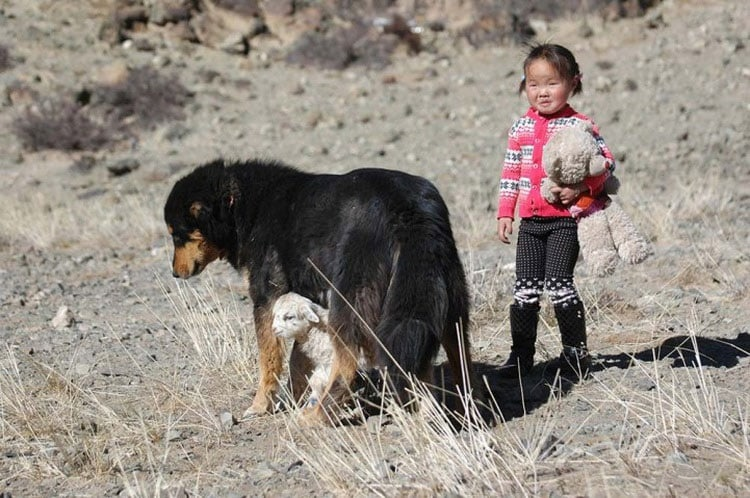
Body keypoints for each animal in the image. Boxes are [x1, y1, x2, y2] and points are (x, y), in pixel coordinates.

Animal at [164, 160, 482, 424]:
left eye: (177, 235)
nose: (174, 274)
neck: (244, 207)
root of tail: (408, 208)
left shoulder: (266, 299)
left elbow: (269, 361)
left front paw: (261, 405)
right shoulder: (303, 305)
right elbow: (297, 359)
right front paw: (295, 396)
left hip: (350, 301)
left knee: (348, 366)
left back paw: (317, 415)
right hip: (442, 302)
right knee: (459, 360)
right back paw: (462, 409)